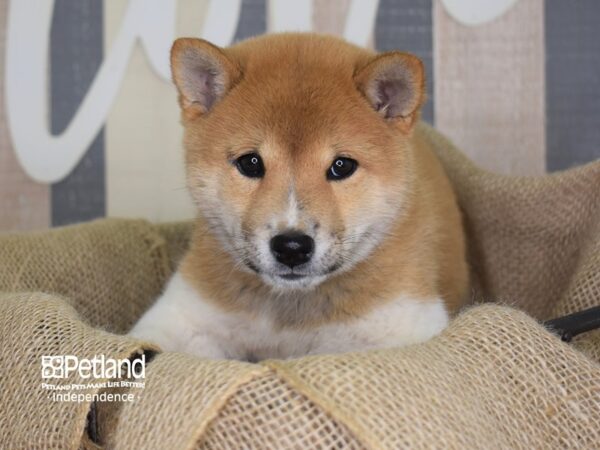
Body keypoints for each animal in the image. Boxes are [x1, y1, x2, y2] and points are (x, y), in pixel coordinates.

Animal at [131, 33, 468, 360]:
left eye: (342, 166)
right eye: (250, 163)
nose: (291, 247)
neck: (290, 313)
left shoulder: (405, 324)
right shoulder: (179, 316)